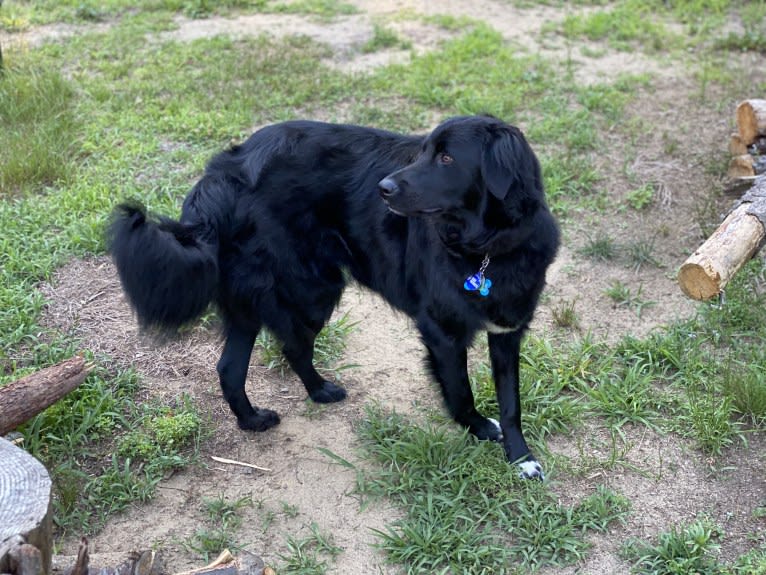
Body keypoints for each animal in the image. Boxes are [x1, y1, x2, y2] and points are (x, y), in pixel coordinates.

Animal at [108, 115, 560, 480]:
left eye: (447, 159)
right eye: (424, 152)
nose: (383, 188)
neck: (488, 247)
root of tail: (221, 175)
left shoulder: (508, 330)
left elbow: (512, 403)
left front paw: (521, 458)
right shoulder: (441, 333)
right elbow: (462, 394)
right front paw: (480, 429)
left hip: (263, 299)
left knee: (236, 365)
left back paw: (263, 416)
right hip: (311, 289)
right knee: (286, 348)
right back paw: (305, 396)